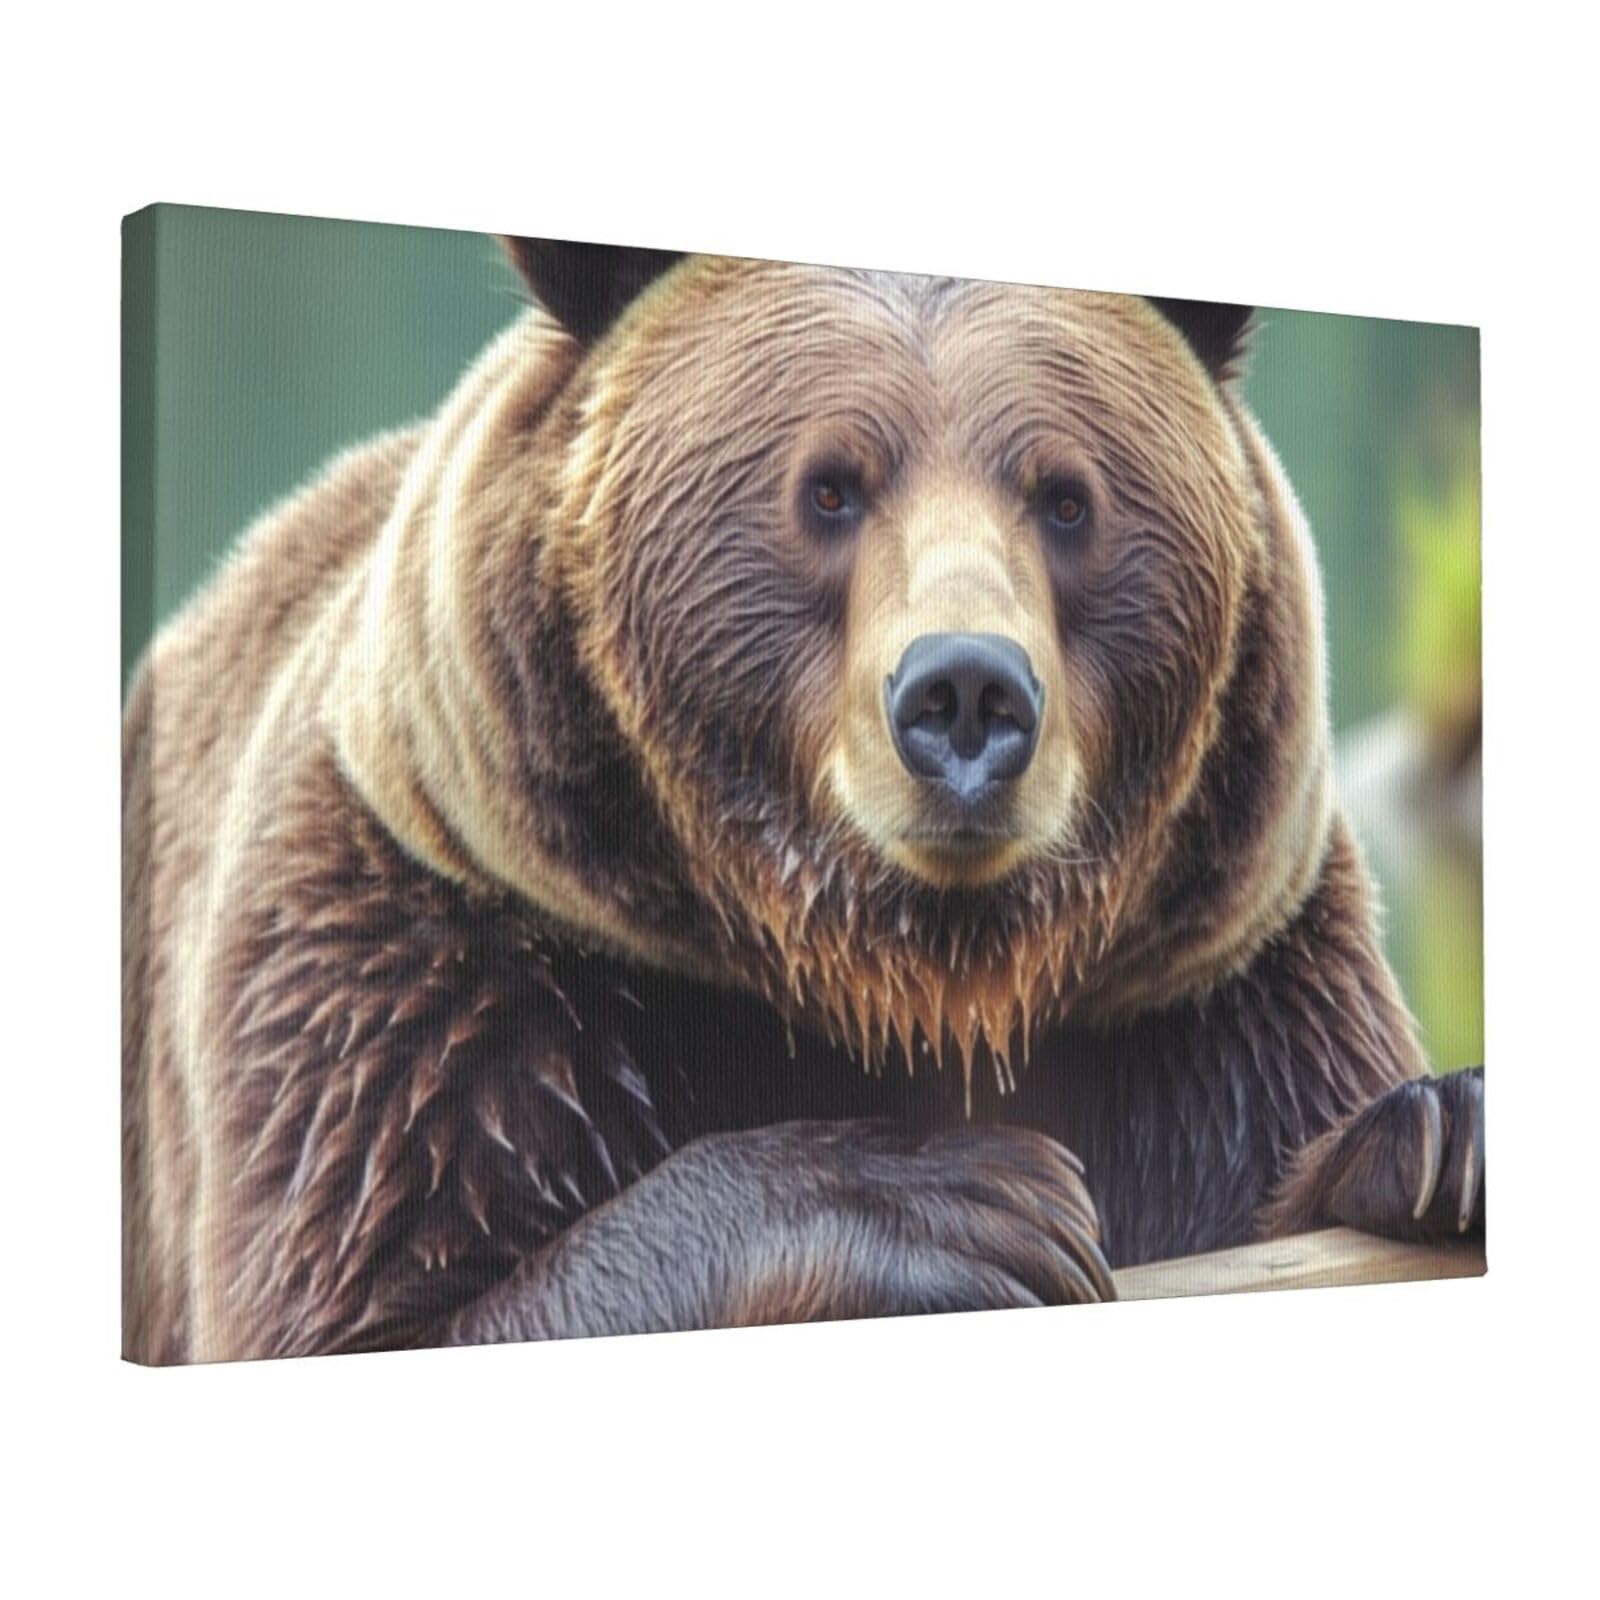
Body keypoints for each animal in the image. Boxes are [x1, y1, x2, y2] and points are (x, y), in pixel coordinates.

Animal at [122, 238, 1485, 1362]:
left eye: (1066, 497)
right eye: (828, 486)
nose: (965, 694)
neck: (910, 978)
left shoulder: (1218, 995)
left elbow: (1295, 1145)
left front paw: (1437, 1130)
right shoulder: (433, 957)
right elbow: (395, 1296)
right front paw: (977, 1201)